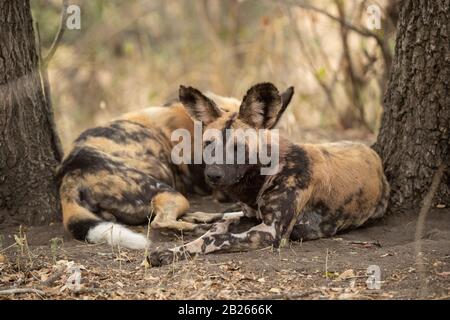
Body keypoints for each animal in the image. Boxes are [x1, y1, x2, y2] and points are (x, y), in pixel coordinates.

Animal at [149, 82, 390, 264]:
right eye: (209, 144)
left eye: (238, 147)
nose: (213, 175)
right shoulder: (251, 217)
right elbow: (220, 226)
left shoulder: (271, 232)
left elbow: (215, 238)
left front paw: (170, 252)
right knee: (224, 214)